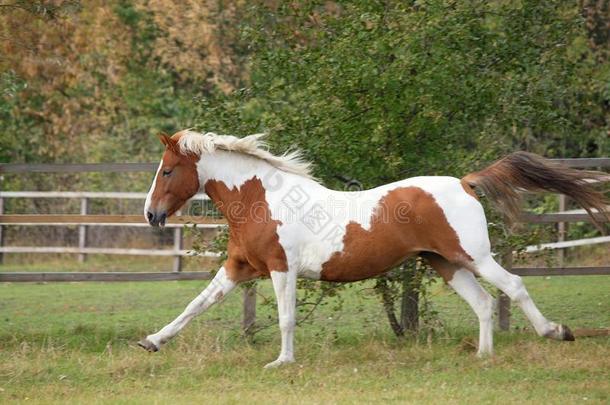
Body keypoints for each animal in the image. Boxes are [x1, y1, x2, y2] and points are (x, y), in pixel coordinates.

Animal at [137, 129, 604, 366]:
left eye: (167, 170)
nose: (151, 215)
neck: (260, 198)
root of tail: (465, 183)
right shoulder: (240, 267)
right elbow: (196, 305)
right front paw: (152, 341)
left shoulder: (281, 267)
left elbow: (287, 319)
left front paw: (282, 362)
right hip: (446, 263)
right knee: (485, 303)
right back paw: (482, 356)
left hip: (475, 257)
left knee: (515, 287)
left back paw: (556, 332)